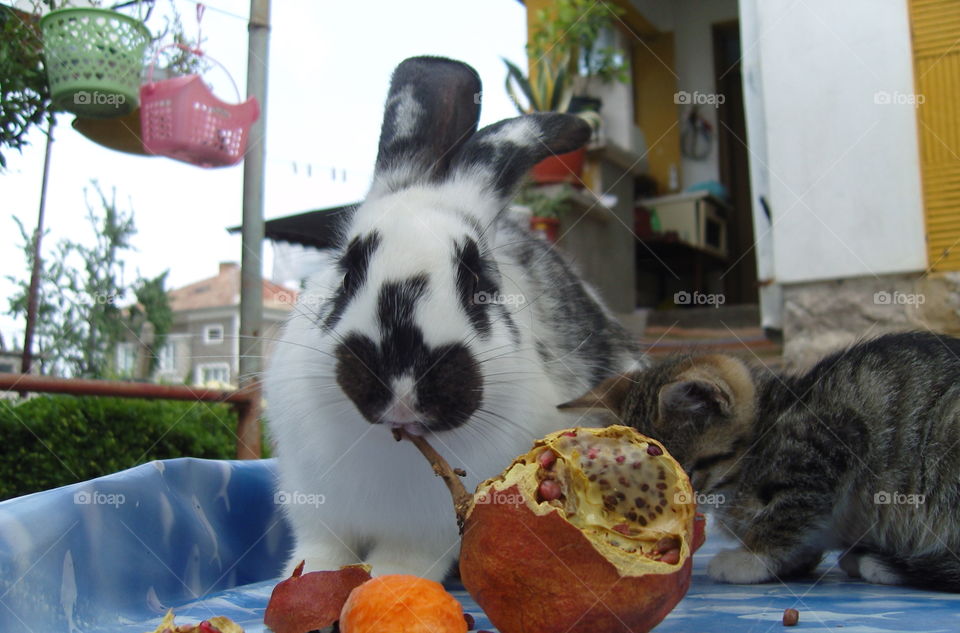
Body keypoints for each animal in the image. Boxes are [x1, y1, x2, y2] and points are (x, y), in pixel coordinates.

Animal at [262, 56, 640, 580]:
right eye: (349, 269)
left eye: (477, 279)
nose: (402, 385)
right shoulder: (318, 512)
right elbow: (319, 554)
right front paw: (308, 577)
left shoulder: (425, 534)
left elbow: (401, 563)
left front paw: (384, 580)